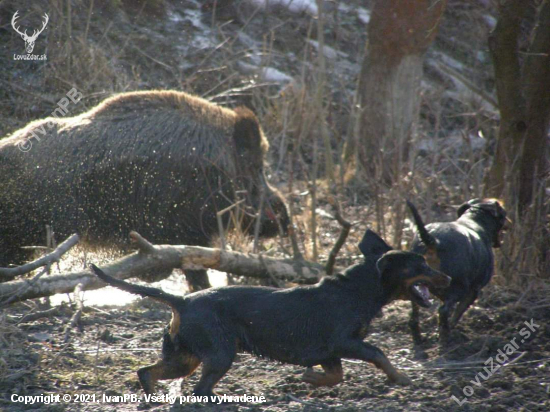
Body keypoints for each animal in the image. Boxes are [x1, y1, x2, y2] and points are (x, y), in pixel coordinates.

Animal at [91, 230, 452, 398]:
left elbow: (336, 375)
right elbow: (379, 353)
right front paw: (400, 378)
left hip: (185, 356)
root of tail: (181, 300)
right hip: (219, 354)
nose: (448, 278)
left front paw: (310, 379)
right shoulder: (344, 342)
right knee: (200, 390)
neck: (357, 290)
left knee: (147, 372)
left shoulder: (329, 352)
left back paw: (153, 396)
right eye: (421, 265)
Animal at [408, 198, 512, 342]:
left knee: (414, 308)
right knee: (443, 311)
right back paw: (446, 336)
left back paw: (417, 334)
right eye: (504, 213)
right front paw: (449, 329)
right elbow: (458, 312)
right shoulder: (473, 290)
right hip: (459, 288)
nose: (510, 222)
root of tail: (433, 241)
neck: (475, 219)